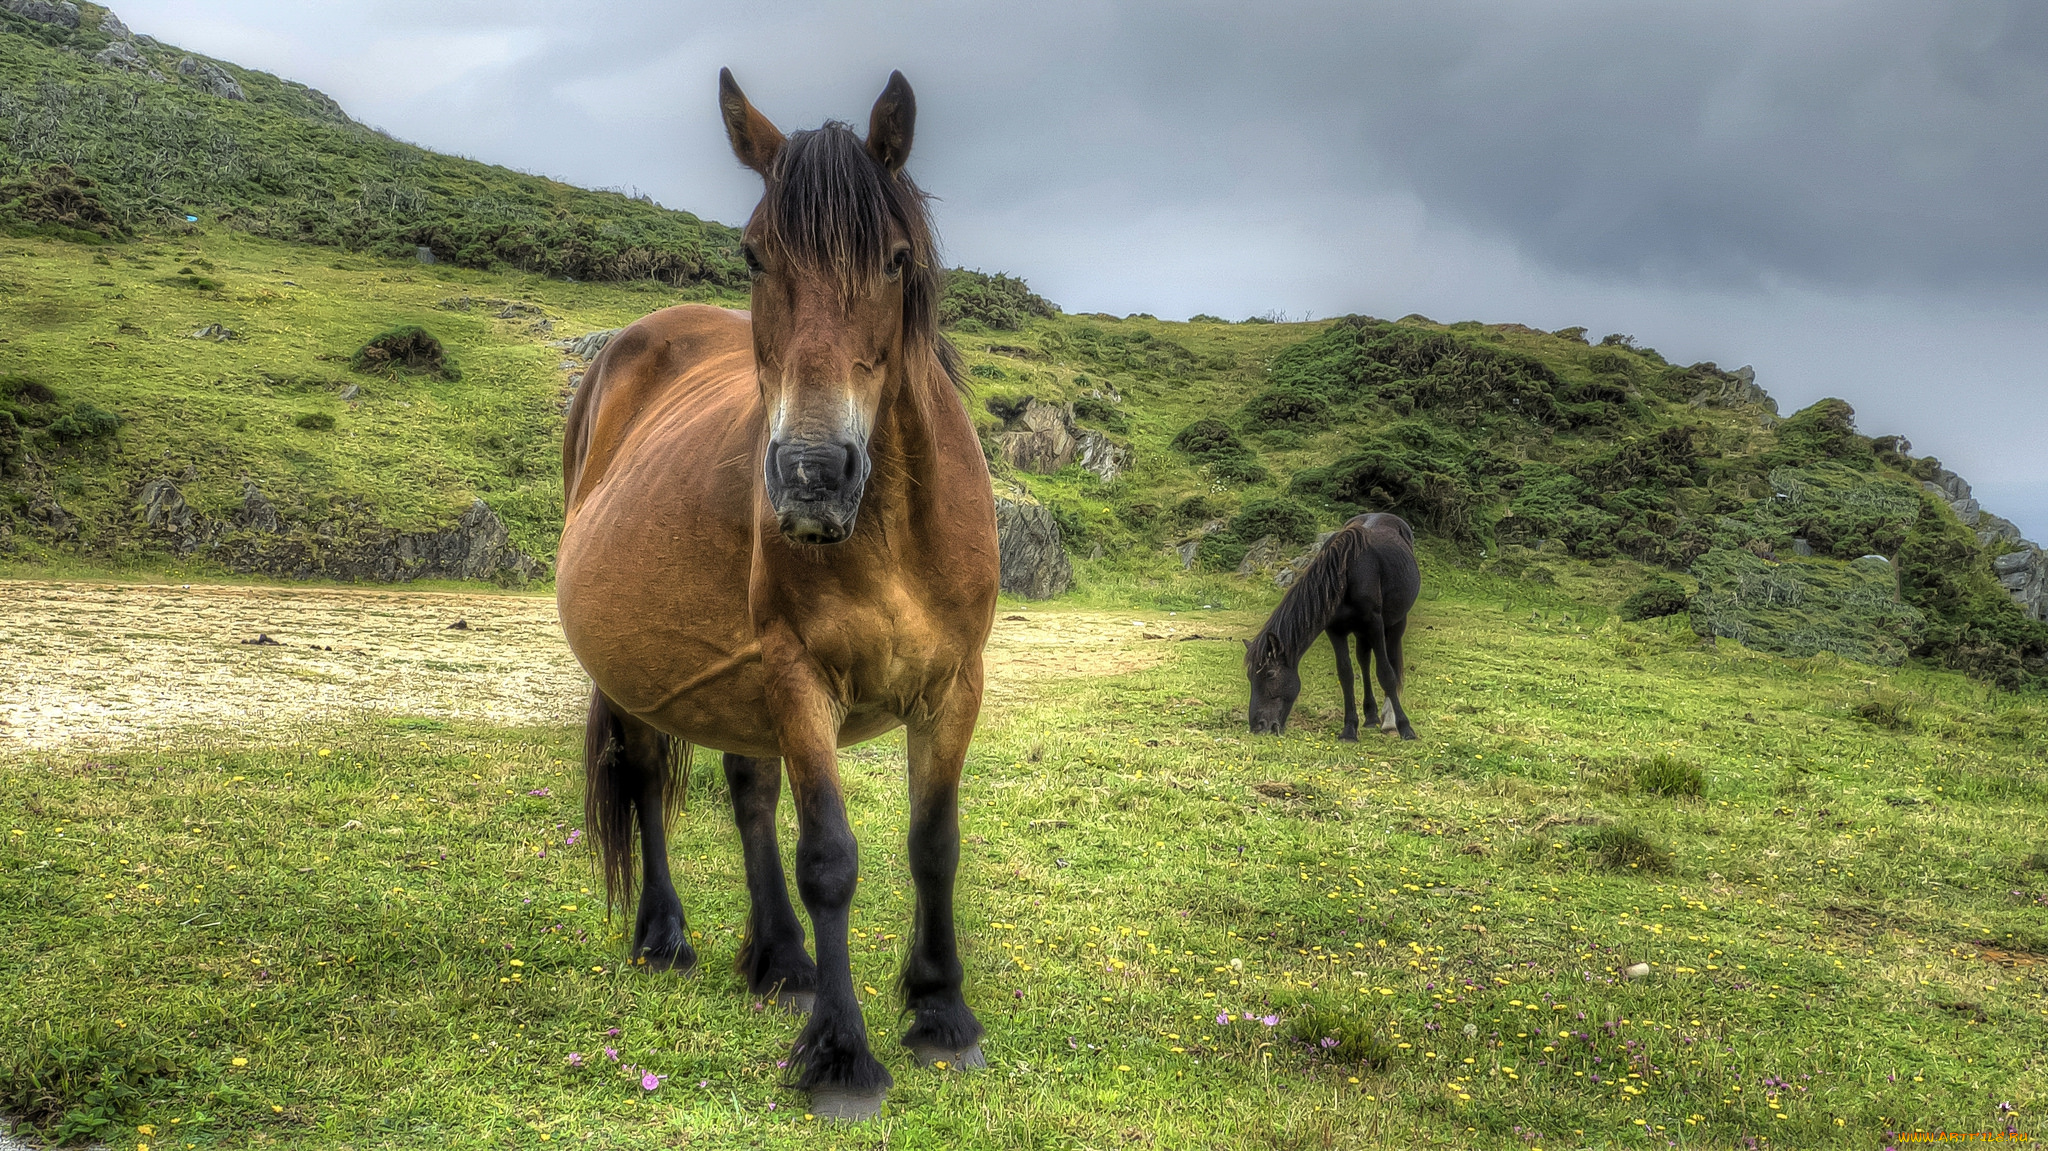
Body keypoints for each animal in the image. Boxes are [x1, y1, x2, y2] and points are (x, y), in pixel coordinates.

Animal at [552, 67, 999, 1114]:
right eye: (754, 255)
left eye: (894, 259)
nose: (809, 476)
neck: (893, 530)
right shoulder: (802, 678)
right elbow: (828, 857)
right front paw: (841, 1055)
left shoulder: (954, 685)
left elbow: (934, 843)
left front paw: (941, 1013)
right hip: (642, 674)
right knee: (644, 779)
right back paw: (666, 937)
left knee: (749, 789)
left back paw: (782, 961)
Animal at [1236, 507, 1417, 733]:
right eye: (1250, 676)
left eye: (1270, 674)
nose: (1258, 726)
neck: (1346, 572)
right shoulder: (1336, 629)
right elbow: (1346, 674)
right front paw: (1349, 729)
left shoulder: (1375, 624)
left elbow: (1386, 673)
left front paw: (1404, 727)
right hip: (1361, 632)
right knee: (1364, 662)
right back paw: (1371, 716)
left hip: (1395, 623)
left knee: (1391, 660)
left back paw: (1389, 720)